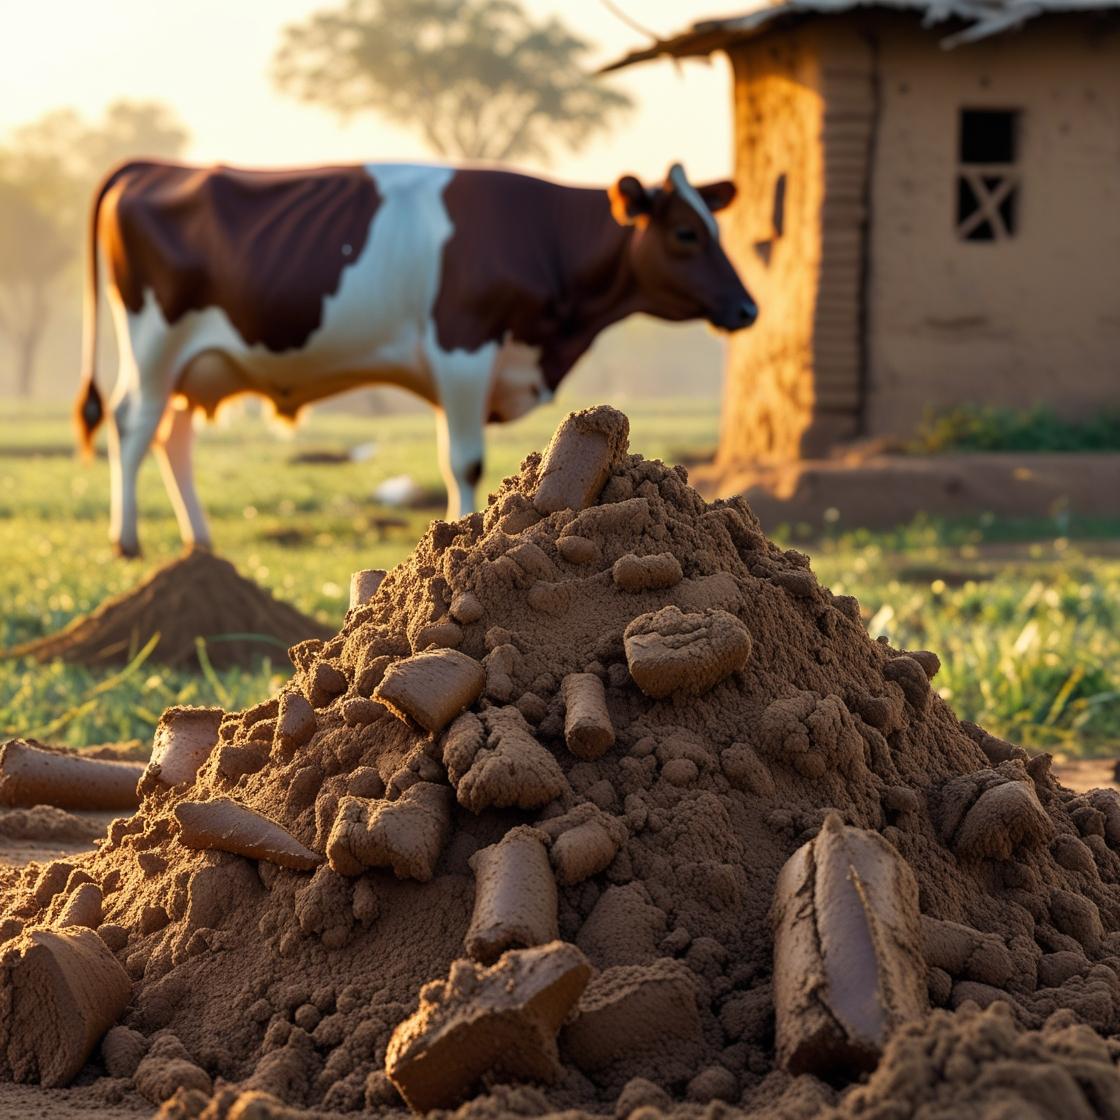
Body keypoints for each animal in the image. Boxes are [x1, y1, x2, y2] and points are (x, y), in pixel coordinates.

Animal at [75, 160, 757, 557]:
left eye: (715, 228)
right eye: (686, 233)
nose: (748, 308)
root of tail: (151, 166)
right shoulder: (464, 350)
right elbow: (464, 461)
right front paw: (462, 533)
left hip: (193, 365)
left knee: (173, 437)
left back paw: (201, 544)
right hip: (153, 342)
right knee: (133, 423)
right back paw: (126, 540)